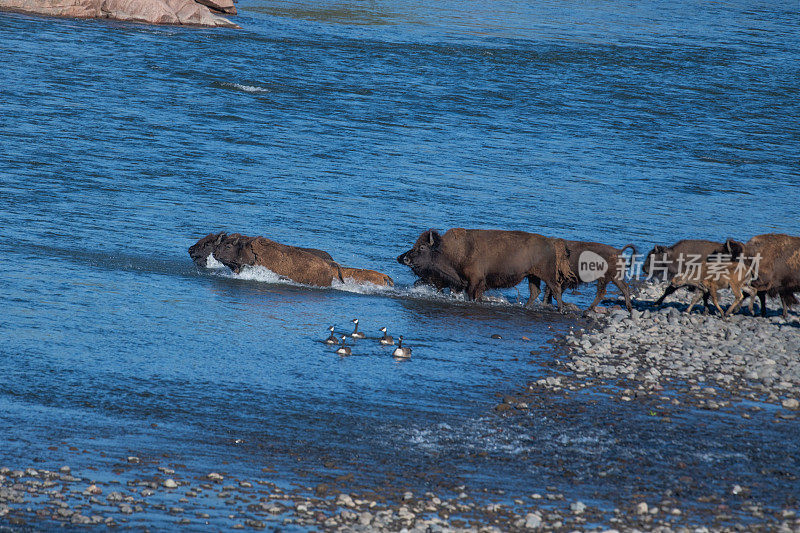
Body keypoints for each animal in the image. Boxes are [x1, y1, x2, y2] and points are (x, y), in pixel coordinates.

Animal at [398, 229, 576, 312]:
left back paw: (560, 310)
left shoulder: (475, 281)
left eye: (422, 247)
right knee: (535, 292)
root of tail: (552, 243)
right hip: (532, 276)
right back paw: (526, 307)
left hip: (546, 275)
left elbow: (472, 296)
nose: (404, 259)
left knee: (555, 289)